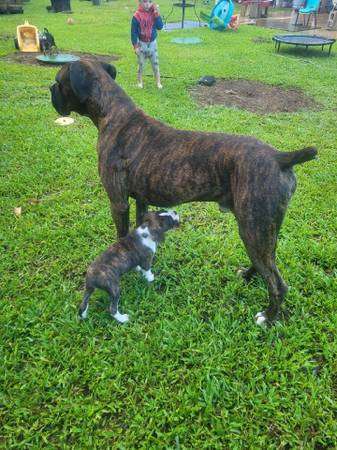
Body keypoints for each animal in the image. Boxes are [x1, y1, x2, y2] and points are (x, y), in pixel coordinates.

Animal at [49, 60, 316, 326]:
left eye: (59, 82)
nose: (50, 89)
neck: (114, 114)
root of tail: (279, 157)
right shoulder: (141, 202)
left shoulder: (118, 203)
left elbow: (121, 236)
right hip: (264, 229)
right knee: (268, 262)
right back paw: (250, 276)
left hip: (254, 228)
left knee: (277, 283)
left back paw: (268, 318)